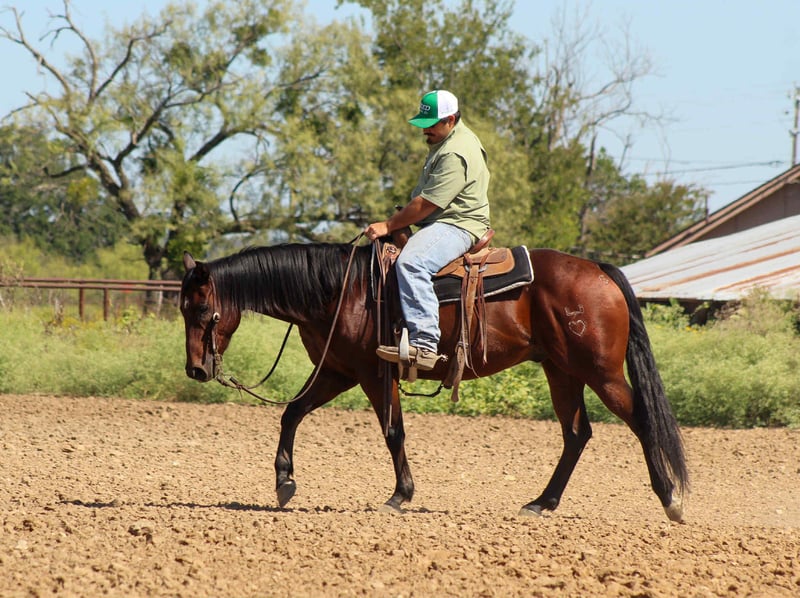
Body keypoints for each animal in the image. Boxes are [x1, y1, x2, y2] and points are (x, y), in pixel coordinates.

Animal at [179, 242, 688, 522]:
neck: (341, 290)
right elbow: (292, 412)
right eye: (183, 307)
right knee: (577, 434)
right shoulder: (338, 371)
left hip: (600, 372)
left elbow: (392, 431)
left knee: (641, 420)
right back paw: (541, 503)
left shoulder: (372, 373)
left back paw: (671, 500)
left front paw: (399, 495)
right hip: (561, 371)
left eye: (201, 308)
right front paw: (284, 481)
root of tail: (599, 270)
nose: (196, 370)